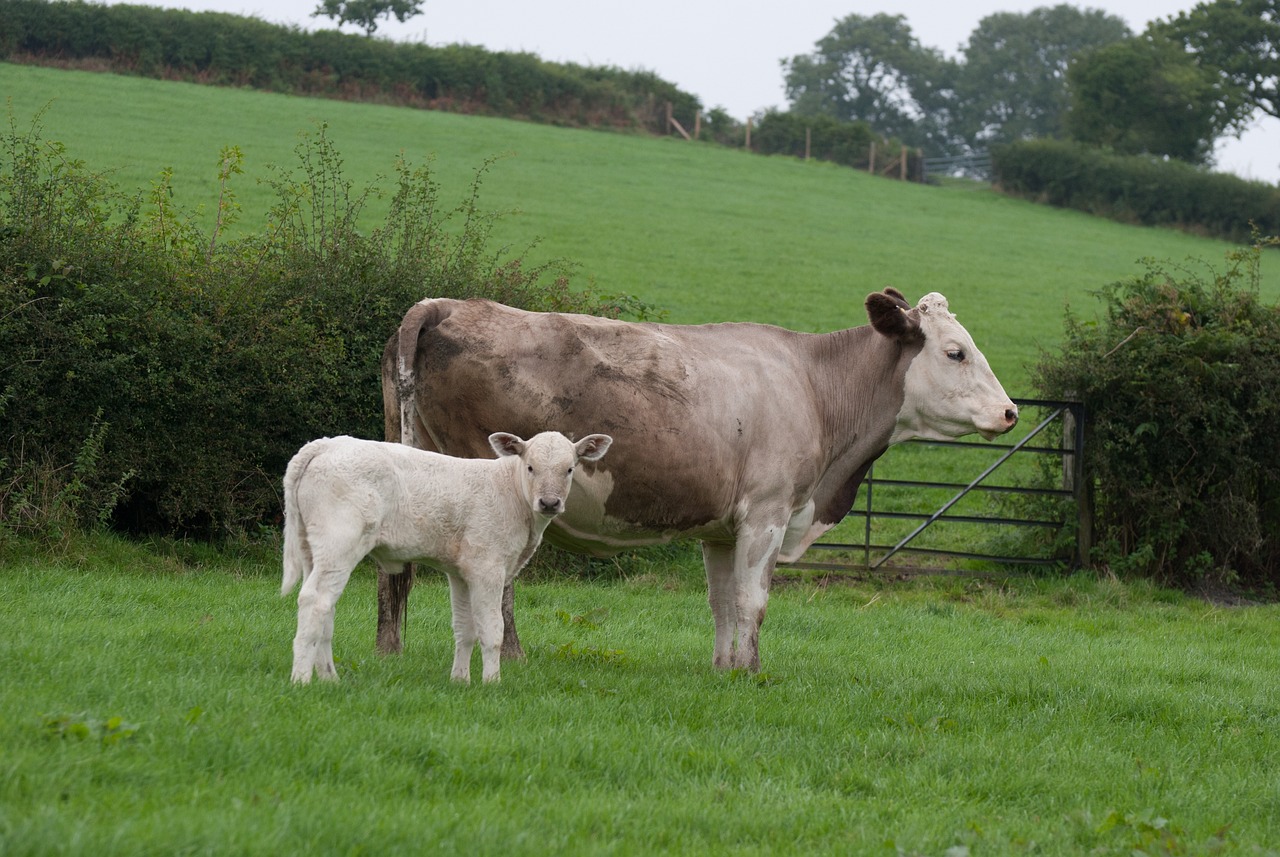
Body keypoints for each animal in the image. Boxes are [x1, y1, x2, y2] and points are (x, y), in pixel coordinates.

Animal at [282, 431, 612, 684]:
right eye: (530, 467)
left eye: (569, 469)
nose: (549, 502)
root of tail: (325, 444)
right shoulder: (488, 567)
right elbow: (492, 628)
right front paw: (492, 682)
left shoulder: (460, 571)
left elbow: (464, 628)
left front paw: (460, 680)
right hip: (340, 540)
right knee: (315, 600)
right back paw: (301, 679)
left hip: (314, 547)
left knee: (325, 609)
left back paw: (329, 678)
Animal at [377, 288, 1017, 672]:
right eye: (956, 352)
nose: (1011, 412)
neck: (813, 385)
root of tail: (443, 304)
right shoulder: (767, 513)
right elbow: (753, 600)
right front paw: (752, 672)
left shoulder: (722, 530)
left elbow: (722, 603)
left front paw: (722, 668)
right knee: (496, 583)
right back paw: (510, 657)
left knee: (392, 572)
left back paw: (390, 649)